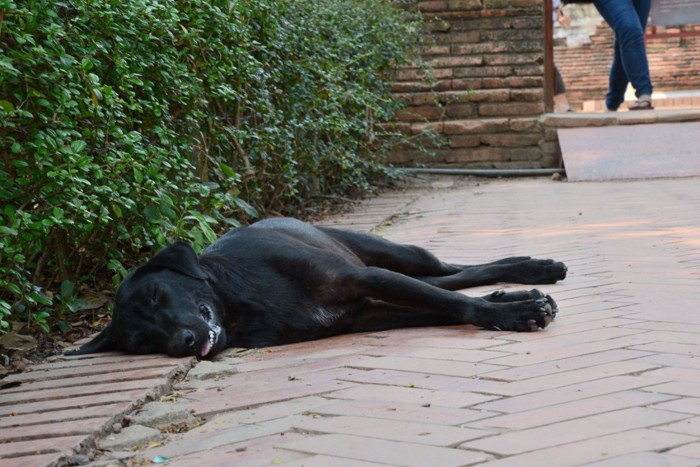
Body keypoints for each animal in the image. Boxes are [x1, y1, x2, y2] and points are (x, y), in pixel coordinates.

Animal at [68, 218, 568, 360]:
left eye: (155, 295)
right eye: (141, 341)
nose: (184, 343)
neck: (238, 302)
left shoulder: (361, 279)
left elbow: (450, 301)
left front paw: (514, 313)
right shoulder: (365, 310)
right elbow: (446, 305)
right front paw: (511, 308)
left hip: (395, 254)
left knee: (453, 270)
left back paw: (533, 268)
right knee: (451, 279)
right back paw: (519, 284)